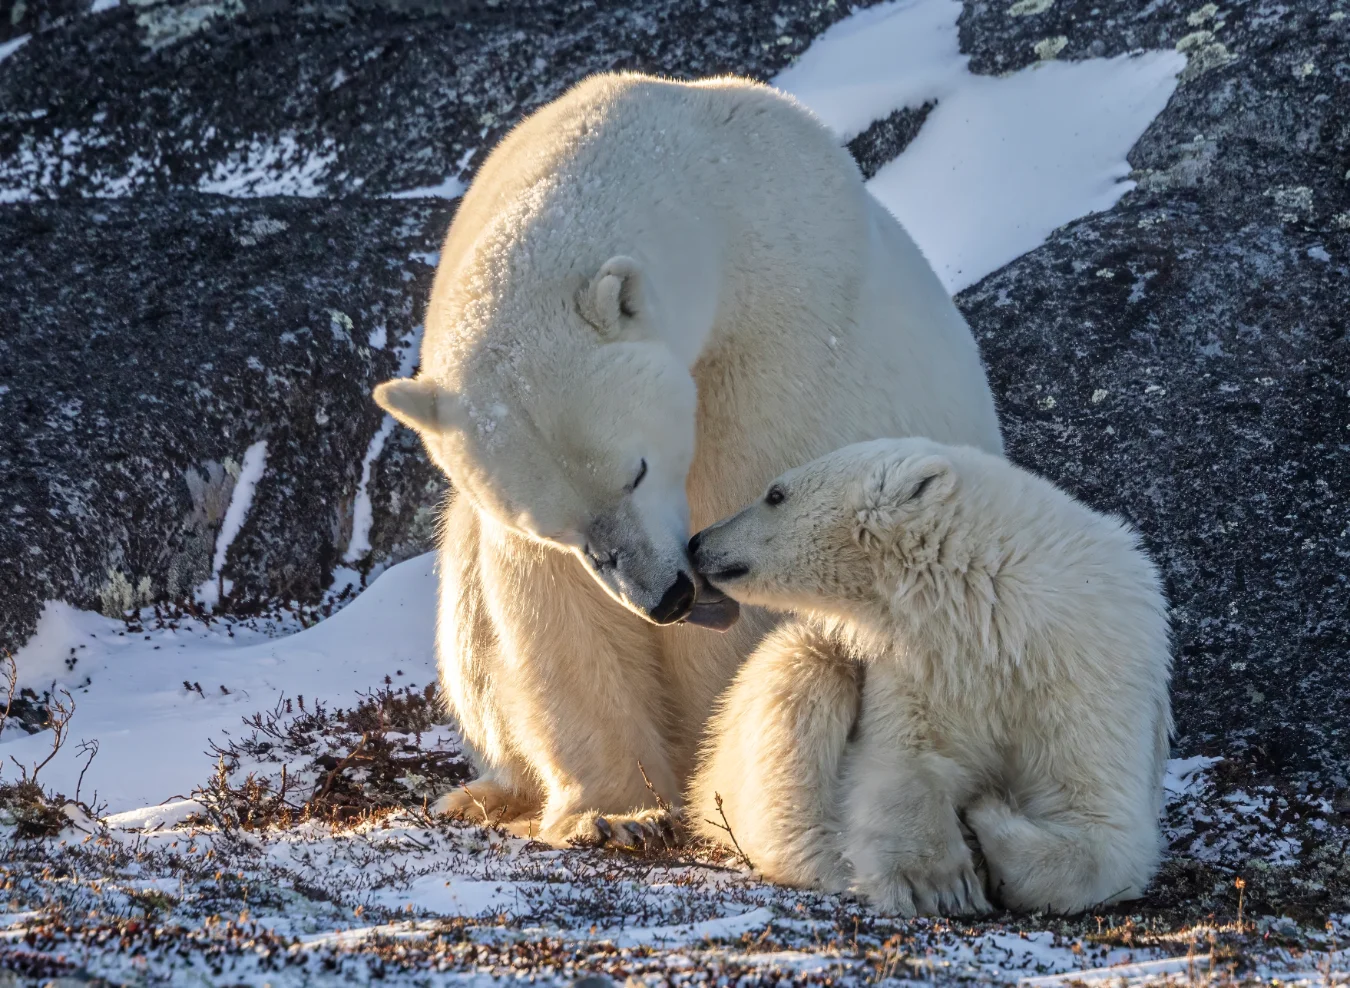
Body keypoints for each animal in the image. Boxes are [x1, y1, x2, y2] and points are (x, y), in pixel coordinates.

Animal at [371, 72, 1004, 848]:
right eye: (555, 524)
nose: (666, 597)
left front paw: (708, 774)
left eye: (637, 470)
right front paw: (613, 812)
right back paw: (480, 795)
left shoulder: (778, 362)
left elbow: (759, 559)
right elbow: (551, 602)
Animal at [688, 438, 1172, 915]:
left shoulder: (1088, 669)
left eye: (775, 494)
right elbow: (908, 759)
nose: (697, 542)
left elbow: (1097, 821)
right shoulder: (923, 663)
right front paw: (938, 882)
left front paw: (987, 821)